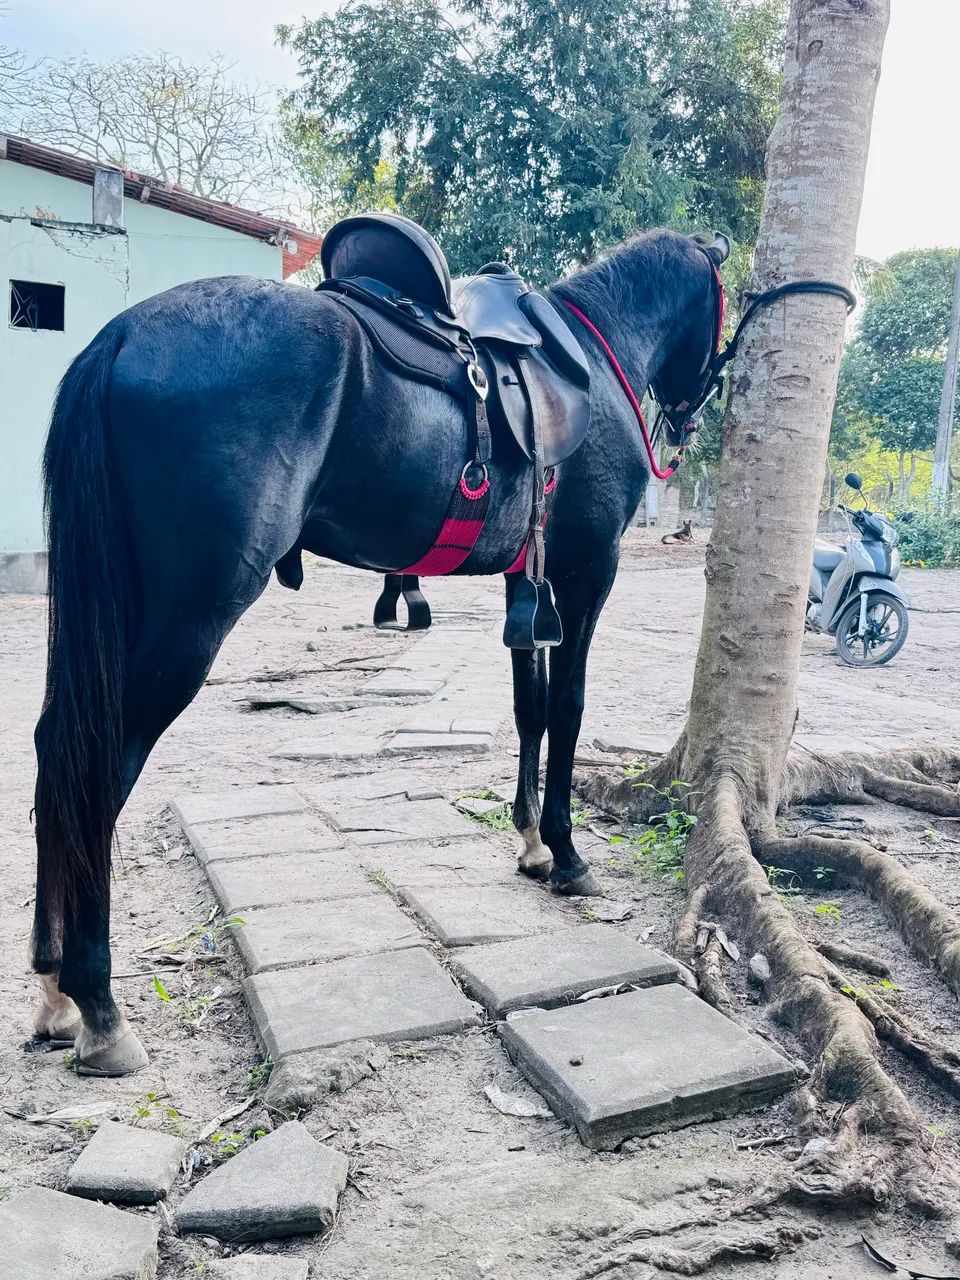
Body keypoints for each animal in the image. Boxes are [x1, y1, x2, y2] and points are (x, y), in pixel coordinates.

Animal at [30, 226, 728, 1074]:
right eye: (720, 307)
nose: (693, 416)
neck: (591, 356)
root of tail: (122, 334)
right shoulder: (587, 571)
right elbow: (567, 708)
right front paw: (565, 854)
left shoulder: (527, 583)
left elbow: (528, 709)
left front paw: (530, 841)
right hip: (189, 615)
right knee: (99, 763)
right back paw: (98, 1005)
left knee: (57, 749)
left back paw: (53, 988)